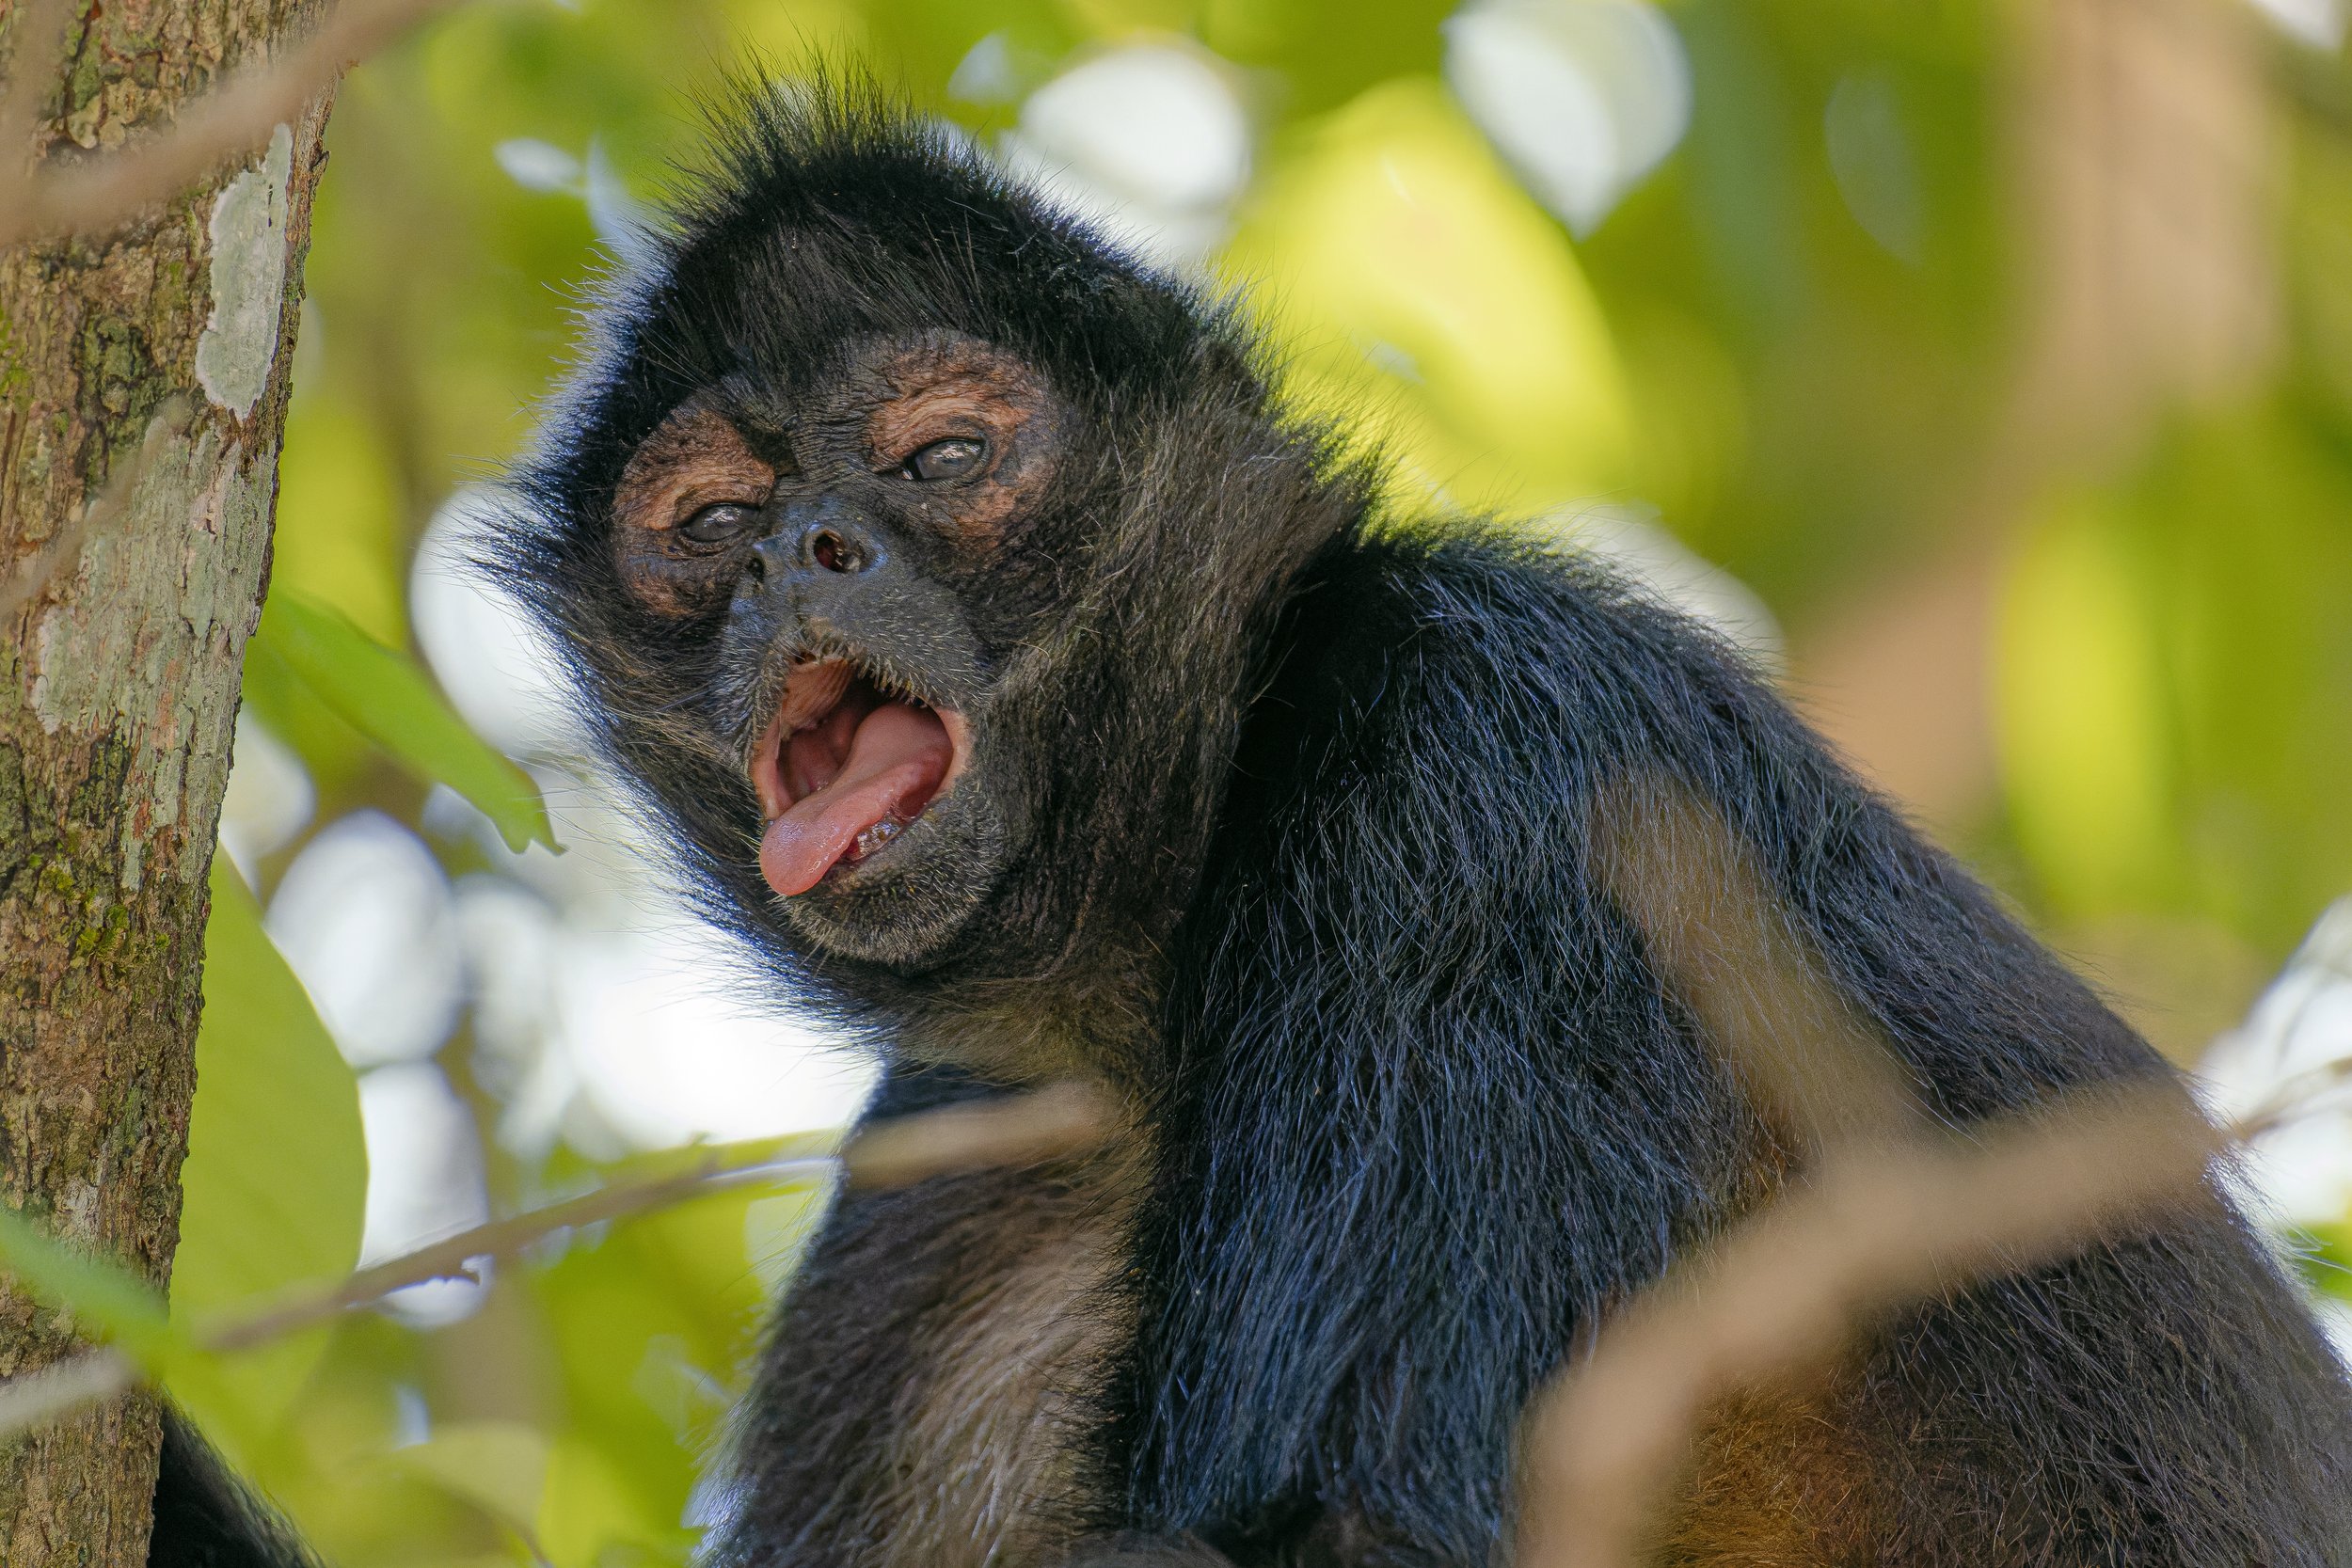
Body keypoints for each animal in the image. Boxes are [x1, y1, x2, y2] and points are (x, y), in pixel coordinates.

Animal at [152, 82, 2352, 1568]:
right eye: (708, 524)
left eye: (941, 458)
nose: (801, 552)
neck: (1156, 964)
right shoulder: (950, 1154)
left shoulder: (1483, 757)